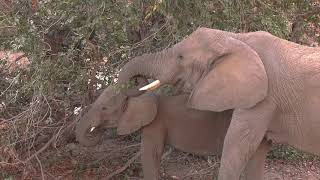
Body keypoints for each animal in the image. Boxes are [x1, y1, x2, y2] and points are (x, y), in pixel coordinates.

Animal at [113, 27, 320, 179]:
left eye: (180, 57)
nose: (137, 81)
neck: (235, 39)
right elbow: (256, 152)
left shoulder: (263, 99)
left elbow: (237, 147)